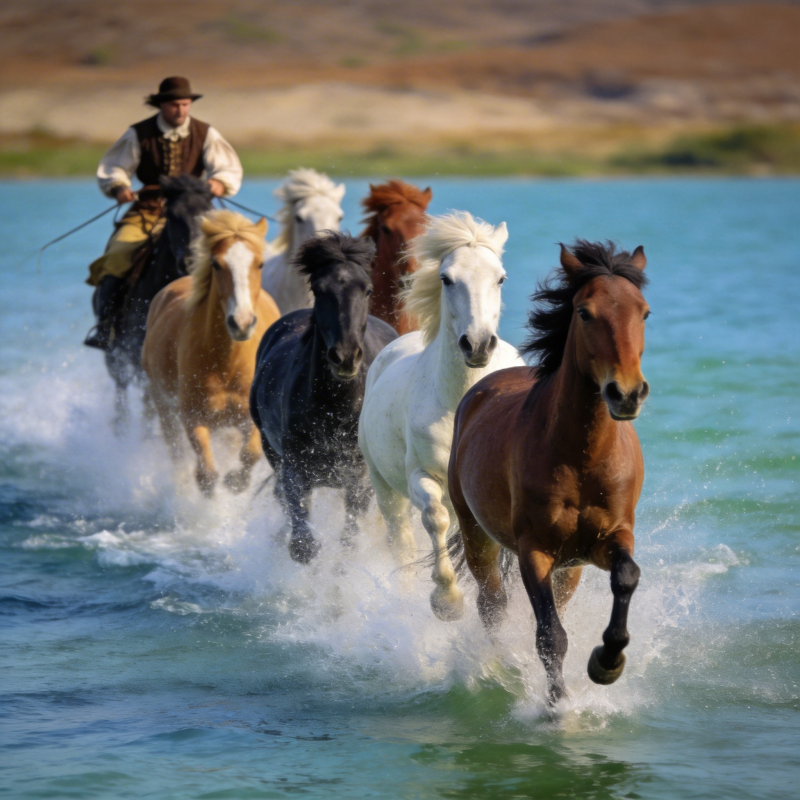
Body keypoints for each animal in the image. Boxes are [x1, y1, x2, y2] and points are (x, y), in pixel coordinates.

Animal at [141, 210, 281, 496]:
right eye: (216, 264)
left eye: (260, 264)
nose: (241, 322)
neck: (226, 363)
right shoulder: (193, 416)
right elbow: (206, 472)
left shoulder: (250, 418)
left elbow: (251, 453)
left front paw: (236, 482)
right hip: (163, 406)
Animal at [250, 232, 398, 564]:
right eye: (319, 289)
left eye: (367, 289)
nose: (345, 357)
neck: (335, 410)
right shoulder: (295, 468)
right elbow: (303, 545)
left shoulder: (359, 479)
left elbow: (349, 541)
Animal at [358, 211, 524, 619]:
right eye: (447, 278)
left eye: (501, 277)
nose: (477, 344)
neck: (462, 405)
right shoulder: (421, 476)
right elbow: (434, 518)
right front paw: (447, 601)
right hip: (385, 490)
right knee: (400, 539)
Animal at [447, 240, 650, 703]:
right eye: (584, 313)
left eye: (644, 312)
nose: (627, 393)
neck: (581, 458)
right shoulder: (533, 549)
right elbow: (549, 635)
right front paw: (558, 707)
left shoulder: (610, 538)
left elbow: (627, 576)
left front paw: (607, 663)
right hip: (476, 535)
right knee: (492, 604)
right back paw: (499, 666)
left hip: (570, 568)